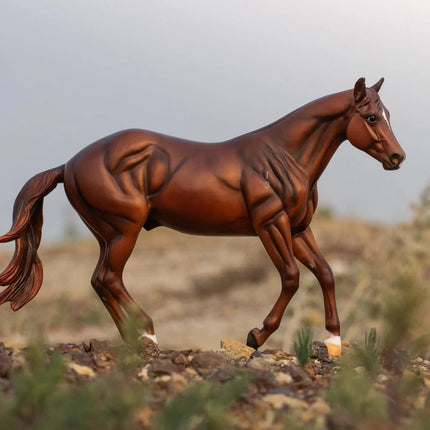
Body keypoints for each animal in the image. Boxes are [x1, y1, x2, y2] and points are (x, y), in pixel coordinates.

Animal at [0, 77, 404, 352]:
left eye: (387, 114)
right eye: (371, 117)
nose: (397, 157)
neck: (283, 157)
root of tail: (68, 165)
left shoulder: (299, 228)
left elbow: (325, 272)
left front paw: (333, 338)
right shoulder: (270, 224)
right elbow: (291, 277)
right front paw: (256, 335)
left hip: (107, 234)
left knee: (100, 281)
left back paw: (135, 339)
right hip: (124, 229)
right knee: (109, 278)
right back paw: (148, 333)